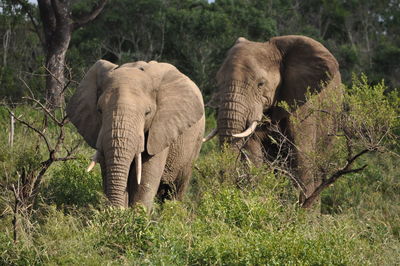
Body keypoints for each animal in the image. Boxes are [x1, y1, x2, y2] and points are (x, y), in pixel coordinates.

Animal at [67, 59, 205, 210]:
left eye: (147, 113)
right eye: (99, 110)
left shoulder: (160, 131)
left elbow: (146, 175)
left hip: (195, 144)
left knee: (176, 188)